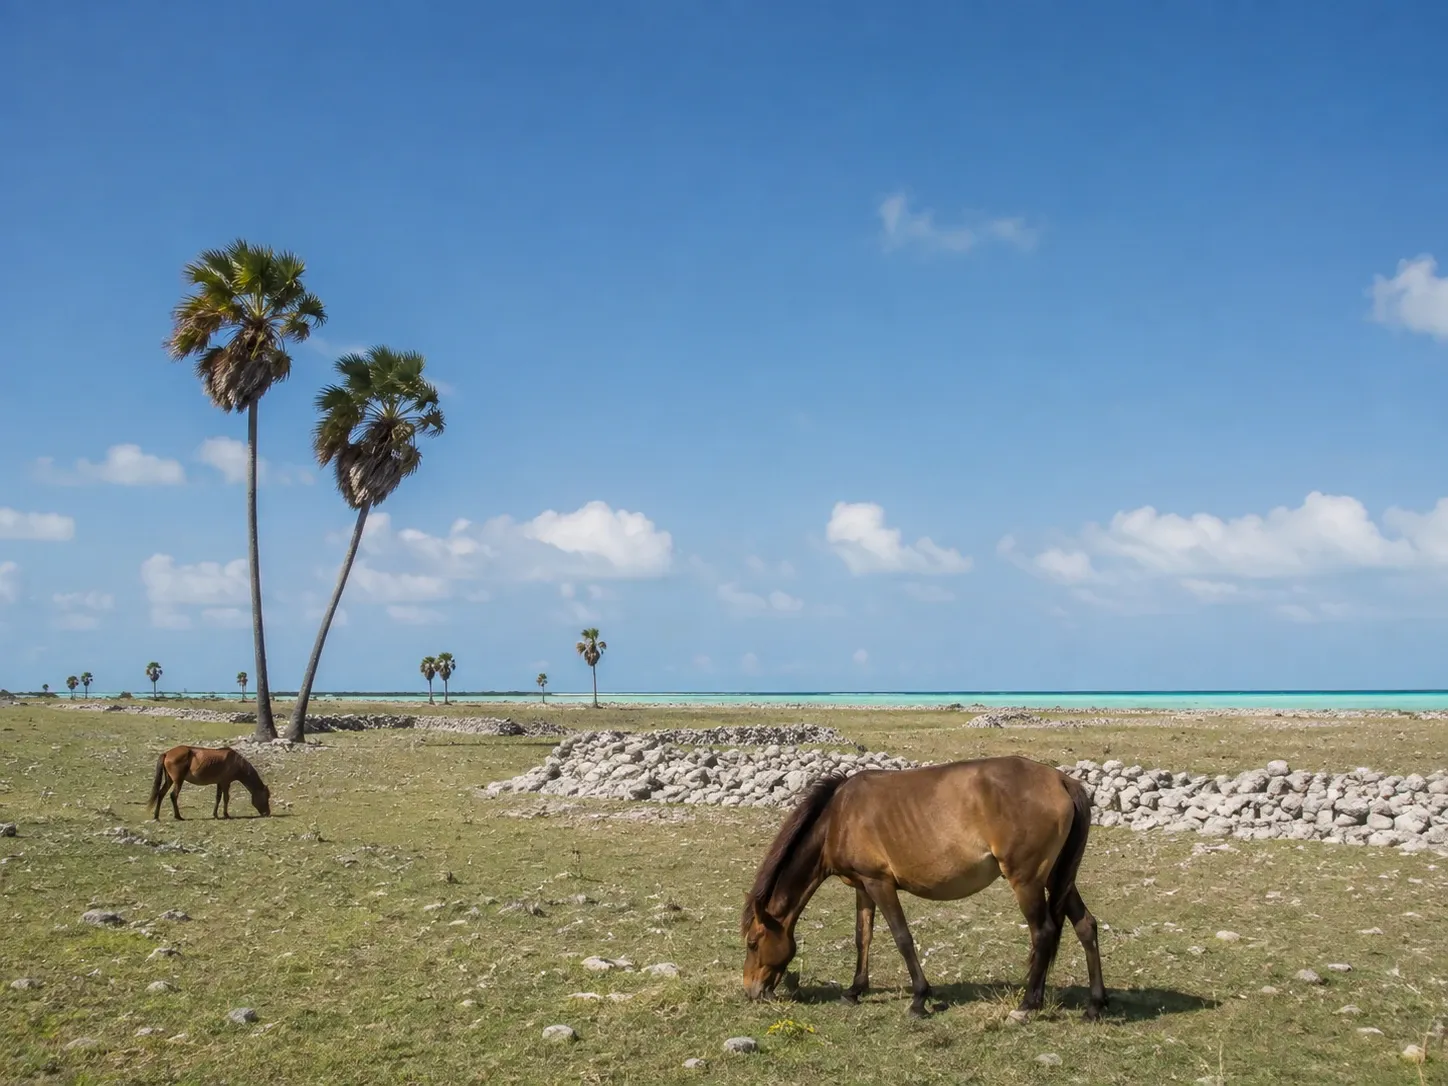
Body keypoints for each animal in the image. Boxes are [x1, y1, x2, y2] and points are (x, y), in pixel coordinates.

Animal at [740, 755, 1106, 1021]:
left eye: (753, 943)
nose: (751, 991)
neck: (838, 817)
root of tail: (1061, 780)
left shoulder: (880, 883)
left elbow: (902, 938)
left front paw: (919, 998)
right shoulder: (863, 886)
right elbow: (863, 937)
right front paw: (855, 990)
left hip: (1027, 881)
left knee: (1043, 933)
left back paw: (1028, 1004)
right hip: (1057, 877)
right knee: (1085, 925)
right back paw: (1094, 1004)